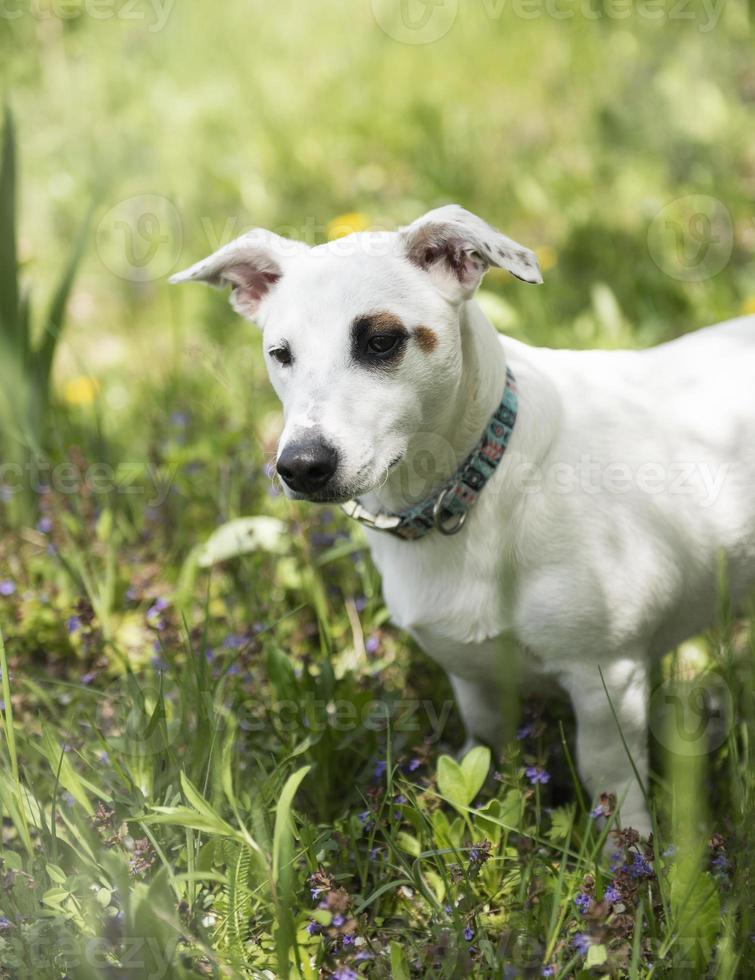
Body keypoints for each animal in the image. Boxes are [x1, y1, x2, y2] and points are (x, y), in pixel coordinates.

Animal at [171, 207, 755, 836]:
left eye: (381, 341)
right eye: (280, 354)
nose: (300, 466)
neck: (472, 491)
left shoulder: (608, 682)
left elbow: (613, 788)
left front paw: (631, 853)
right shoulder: (475, 682)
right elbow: (486, 757)